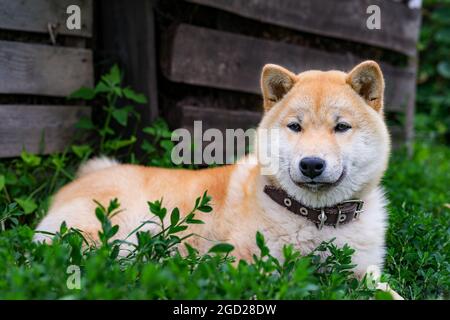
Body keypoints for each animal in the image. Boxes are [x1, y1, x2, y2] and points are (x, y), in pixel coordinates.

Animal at [35, 61, 392, 282]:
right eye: (295, 126)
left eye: (342, 126)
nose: (312, 164)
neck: (317, 218)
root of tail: (81, 178)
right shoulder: (249, 266)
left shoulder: (363, 270)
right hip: (109, 235)